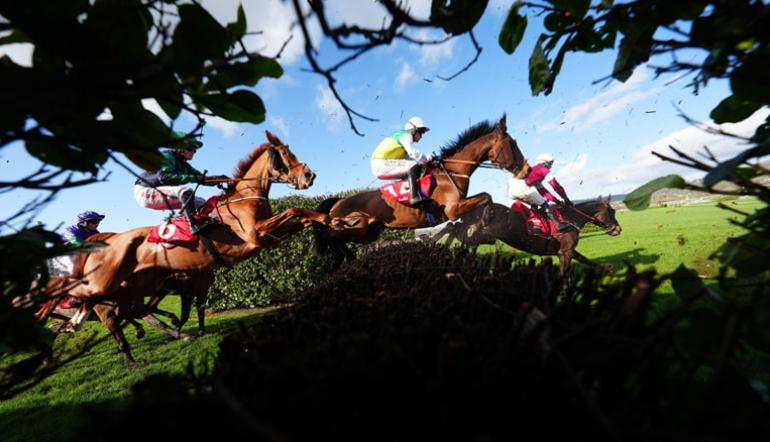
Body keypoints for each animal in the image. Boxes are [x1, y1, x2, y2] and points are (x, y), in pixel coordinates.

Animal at [35, 130, 329, 362]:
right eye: (286, 154)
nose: (310, 175)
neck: (244, 199)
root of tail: (108, 241)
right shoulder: (255, 235)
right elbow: (292, 209)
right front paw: (329, 218)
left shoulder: (265, 238)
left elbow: (300, 215)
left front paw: (327, 218)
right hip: (111, 281)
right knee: (93, 302)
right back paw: (61, 321)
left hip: (135, 286)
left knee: (132, 309)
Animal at [313, 115, 528, 262]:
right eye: (513, 144)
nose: (526, 169)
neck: (452, 171)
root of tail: (338, 200)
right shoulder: (452, 208)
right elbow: (487, 197)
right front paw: (480, 223)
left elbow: (481, 201)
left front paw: (474, 227)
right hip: (357, 228)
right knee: (329, 235)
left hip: (369, 233)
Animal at [434, 197, 622, 274]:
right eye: (612, 212)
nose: (618, 229)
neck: (571, 218)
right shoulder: (565, 252)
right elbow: (565, 273)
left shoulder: (567, 250)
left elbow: (586, 260)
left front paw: (607, 268)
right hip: (483, 235)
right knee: (453, 229)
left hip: (482, 236)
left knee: (453, 227)